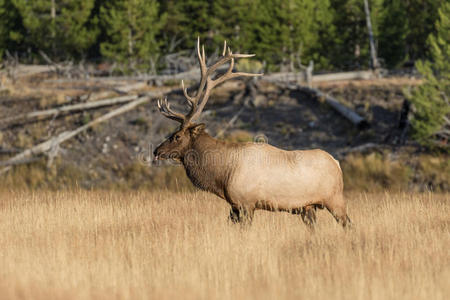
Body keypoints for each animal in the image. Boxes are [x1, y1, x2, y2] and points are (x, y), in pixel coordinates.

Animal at [155, 38, 352, 229]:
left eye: (177, 136)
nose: (157, 151)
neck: (222, 175)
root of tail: (337, 163)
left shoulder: (246, 203)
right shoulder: (234, 206)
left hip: (335, 199)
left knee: (348, 224)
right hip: (308, 207)